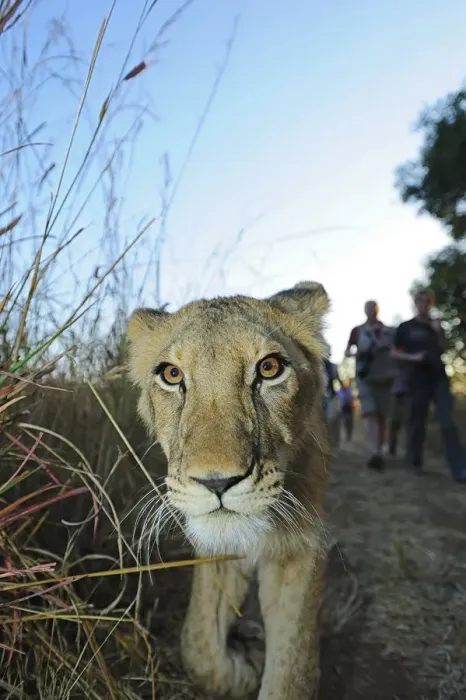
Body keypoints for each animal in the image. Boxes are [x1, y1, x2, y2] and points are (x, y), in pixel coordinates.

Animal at [126, 281, 331, 700]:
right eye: (172, 374)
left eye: (269, 368)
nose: (216, 482)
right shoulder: (216, 549)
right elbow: (199, 646)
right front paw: (243, 670)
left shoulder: (302, 546)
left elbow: (293, 669)